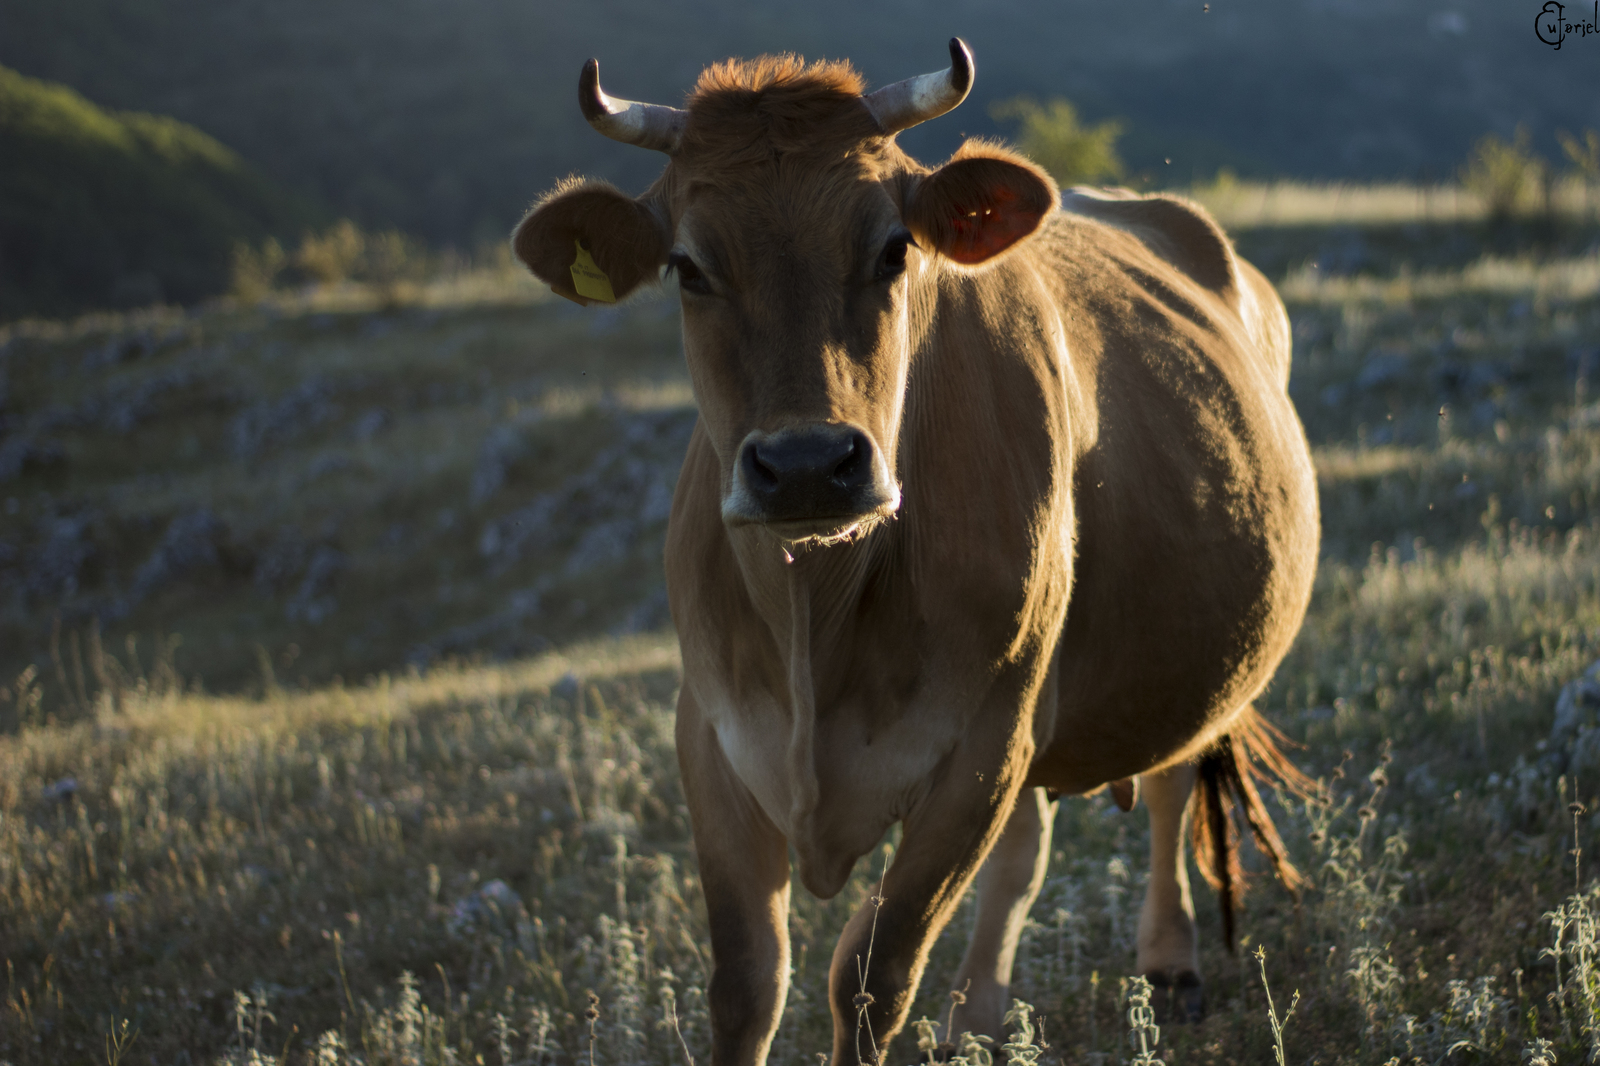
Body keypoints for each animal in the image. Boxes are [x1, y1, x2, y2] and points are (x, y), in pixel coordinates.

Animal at [508, 37, 1312, 1056]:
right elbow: (746, 984)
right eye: (687, 267)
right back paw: (977, 1019)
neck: (817, 611)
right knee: (1026, 853)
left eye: (895, 248)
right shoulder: (711, 735)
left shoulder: (981, 748)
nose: (807, 465)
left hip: (1176, 667)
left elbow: (870, 973)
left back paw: (1169, 966)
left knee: (1168, 783)